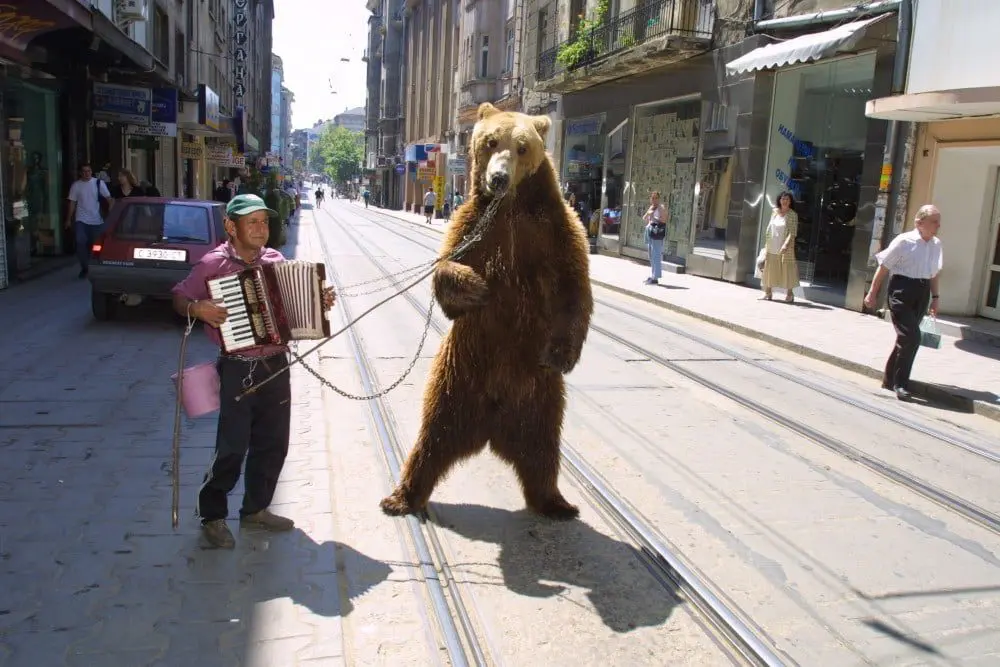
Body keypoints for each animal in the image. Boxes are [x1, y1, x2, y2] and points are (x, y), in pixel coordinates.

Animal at [379, 102, 593, 521]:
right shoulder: (471, 227)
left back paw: (556, 502)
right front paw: (475, 286)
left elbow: (574, 285)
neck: (507, 209)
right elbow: (447, 267)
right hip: (456, 380)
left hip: (537, 393)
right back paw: (401, 497)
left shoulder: (553, 229)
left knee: (543, 447)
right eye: (491, 142)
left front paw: (564, 353)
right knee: (432, 438)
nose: (497, 177)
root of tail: (493, 428)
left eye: (522, 146)